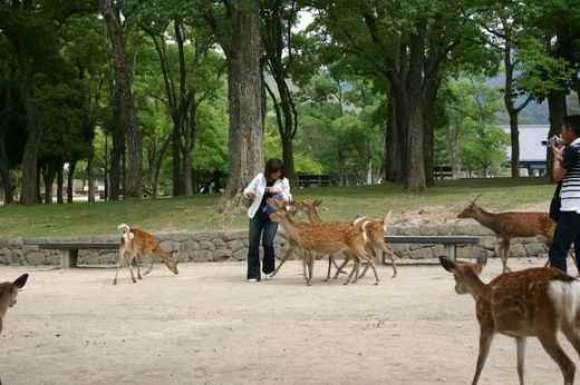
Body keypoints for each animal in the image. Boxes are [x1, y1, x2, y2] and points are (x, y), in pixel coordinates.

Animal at [440, 255, 580, 384]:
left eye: (455, 276)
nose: (456, 289)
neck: (479, 293)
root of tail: (566, 283)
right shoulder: (521, 335)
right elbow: (520, 368)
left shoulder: (486, 324)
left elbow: (480, 364)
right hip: (570, 324)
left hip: (545, 325)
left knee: (569, 366)